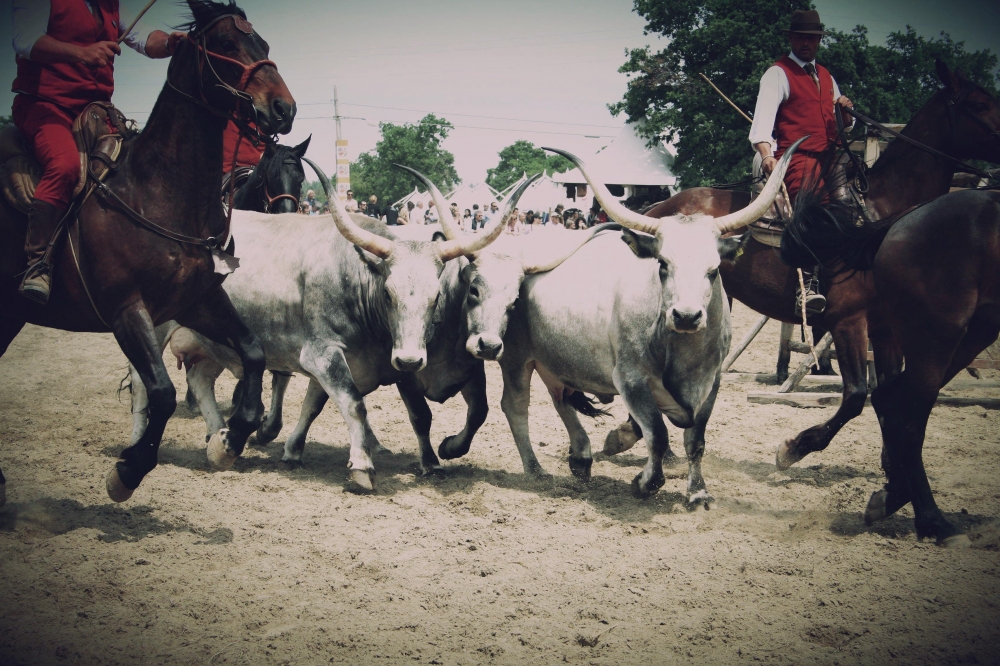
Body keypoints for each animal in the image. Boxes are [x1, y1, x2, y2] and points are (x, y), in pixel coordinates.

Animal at [0, 0, 296, 504]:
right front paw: (128, 470)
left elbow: (254, 353)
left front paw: (229, 439)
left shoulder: (197, 300)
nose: (283, 108)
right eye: (226, 43)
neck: (155, 190)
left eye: (263, 42)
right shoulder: (126, 309)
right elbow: (160, 392)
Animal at [446, 143, 804, 500]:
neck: (681, 351)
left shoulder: (711, 382)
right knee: (516, 405)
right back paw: (534, 470)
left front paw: (698, 491)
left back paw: (581, 456)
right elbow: (657, 434)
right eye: (662, 264)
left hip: (554, 356)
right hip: (515, 356)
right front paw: (647, 482)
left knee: (560, 396)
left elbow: (696, 441)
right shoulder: (631, 380)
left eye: (714, 269)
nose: (686, 316)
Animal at [640, 61, 1000, 466]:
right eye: (980, 104)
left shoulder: (885, 329)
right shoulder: (848, 321)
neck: (879, 217)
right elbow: (857, 395)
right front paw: (794, 448)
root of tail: (658, 208)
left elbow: (887, 394)